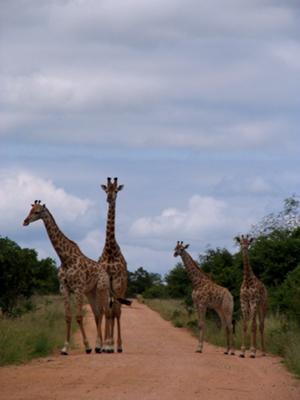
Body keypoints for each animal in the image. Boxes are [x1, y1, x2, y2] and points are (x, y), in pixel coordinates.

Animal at [22, 202, 110, 354]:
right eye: (30, 210)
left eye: (37, 212)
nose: (25, 221)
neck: (65, 259)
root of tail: (105, 272)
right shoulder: (64, 288)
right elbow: (68, 317)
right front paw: (65, 348)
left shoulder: (78, 288)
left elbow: (79, 317)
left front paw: (87, 347)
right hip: (90, 291)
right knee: (97, 313)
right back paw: (98, 346)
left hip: (101, 288)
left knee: (103, 312)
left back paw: (103, 346)